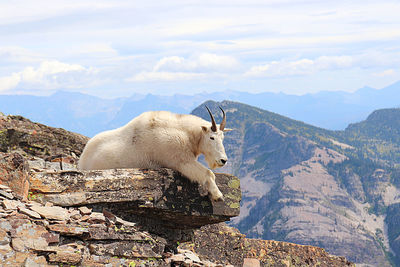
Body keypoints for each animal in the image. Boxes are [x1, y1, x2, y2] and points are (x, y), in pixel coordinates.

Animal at [77, 107, 231, 201]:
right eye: (212, 137)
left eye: (223, 137)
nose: (223, 160)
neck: (185, 134)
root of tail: (82, 161)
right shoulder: (181, 161)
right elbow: (208, 173)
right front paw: (218, 195)